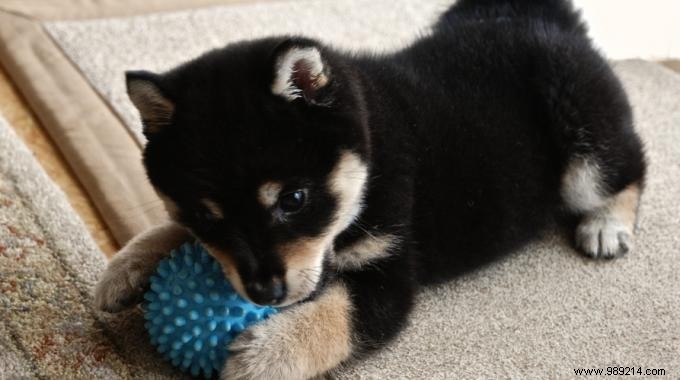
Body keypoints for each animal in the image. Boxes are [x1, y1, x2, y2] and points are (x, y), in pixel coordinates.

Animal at [94, 1, 644, 378]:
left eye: (294, 200)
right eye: (207, 217)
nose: (264, 293)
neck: (372, 157)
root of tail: (544, 20)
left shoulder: (392, 272)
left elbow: (337, 315)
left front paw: (263, 354)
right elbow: (172, 230)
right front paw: (127, 265)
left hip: (583, 146)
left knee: (629, 165)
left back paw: (606, 226)